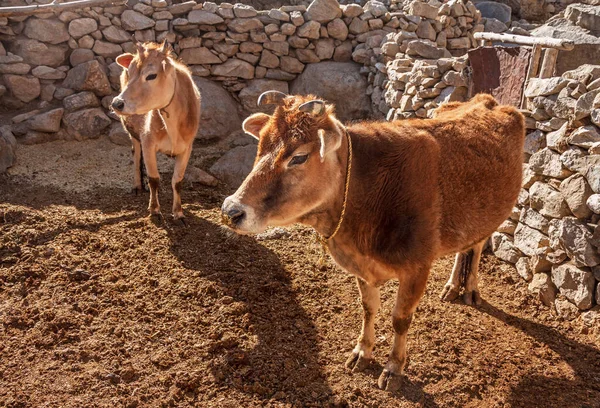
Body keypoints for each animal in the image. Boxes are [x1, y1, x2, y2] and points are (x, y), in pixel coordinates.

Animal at [113, 41, 203, 222]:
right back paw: (138, 185)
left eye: (151, 75)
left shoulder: (187, 148)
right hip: (132, 131)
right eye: (130, 72)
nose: (117, 103)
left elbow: (177, 181)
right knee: (136, 153)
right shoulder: (148, 142)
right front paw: (155, 210)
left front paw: (178, 212)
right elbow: (154, 179)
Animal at [221, 92, 524, 392]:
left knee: (477, 245)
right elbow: (368, 308)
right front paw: (362, 352)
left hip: (491, 214)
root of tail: (487, 100)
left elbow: (400, 320)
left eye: (299, 157)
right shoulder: (362, 267)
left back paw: (469, 288)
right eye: (261, 146)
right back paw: (452, 286)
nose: (231, 210)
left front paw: (394, 368)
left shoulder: (417, 268)